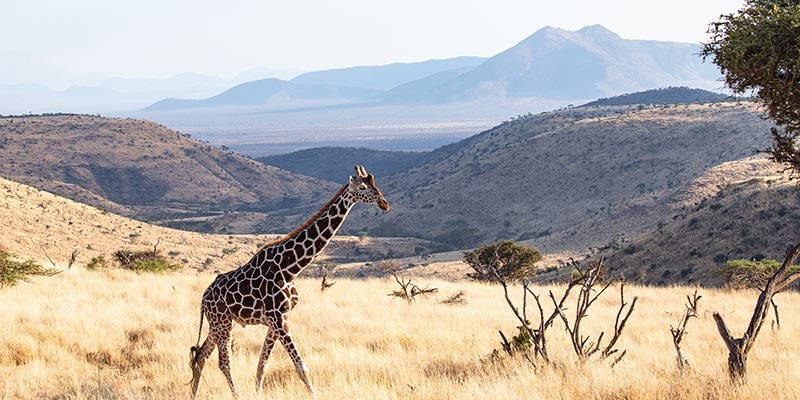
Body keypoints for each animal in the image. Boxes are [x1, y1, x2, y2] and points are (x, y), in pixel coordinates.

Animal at [190, 165, 389, 399]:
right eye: (363, 187)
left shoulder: (278, 319)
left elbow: (262, 365)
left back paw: (192, 395)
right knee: (223, 363)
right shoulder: (278, 319)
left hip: (218, 323)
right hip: (222, 322)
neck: (290, 269)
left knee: (200, 355)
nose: (384, 203)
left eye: (376, 185)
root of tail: (204, 298)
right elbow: (301, 367)